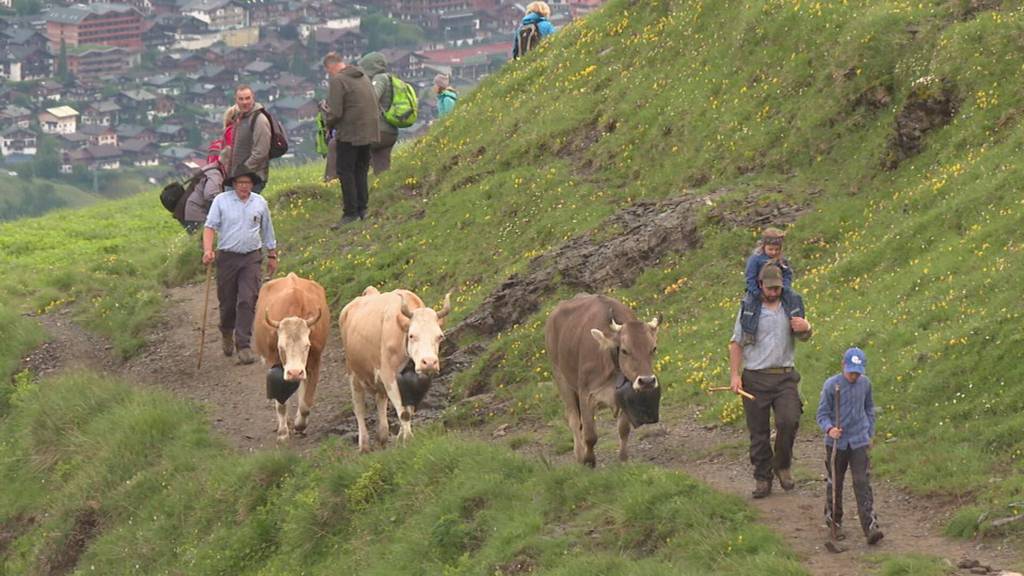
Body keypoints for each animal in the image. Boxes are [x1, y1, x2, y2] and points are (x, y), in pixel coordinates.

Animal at [250, 270, 327, 436]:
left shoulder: (314, 362)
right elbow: (281, 402)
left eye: (307, 345)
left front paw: (300, 424)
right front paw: (283, 432)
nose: (295, 373)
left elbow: (306, 403)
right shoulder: (274, 363)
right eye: (281, 347)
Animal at [337, 284, 450, 450]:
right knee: (359, 407)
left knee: (381, 400)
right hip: (353, 372)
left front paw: (400, 439)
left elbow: (408, 410)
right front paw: (408, 439)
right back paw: (364, 445)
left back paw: (383, 435)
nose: (429, 362)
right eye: (412, 335)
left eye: (440, 336)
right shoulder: (388, 375)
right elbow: (403, 412)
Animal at [544, 293, 663, 463]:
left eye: (653, 348)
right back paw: (579, 455)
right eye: (625, 350)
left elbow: (623, 430)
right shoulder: (586, 395)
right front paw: (589, 460)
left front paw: (623, 459)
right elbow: (590, 435)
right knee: (574, 420)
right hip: (561, 378)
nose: (646, 381)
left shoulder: (623, 397)